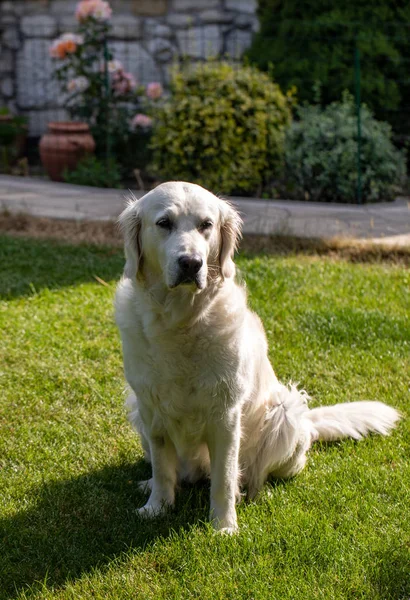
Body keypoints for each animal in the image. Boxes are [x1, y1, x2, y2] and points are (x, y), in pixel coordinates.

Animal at [114, 182, 400, 536]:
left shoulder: (225, 414)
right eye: (164, 223)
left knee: (261, 471)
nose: (191, 263)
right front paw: (157, 507)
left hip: (285, 412)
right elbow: (163, 467)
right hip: (136, 408)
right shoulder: (151, 407)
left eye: (206, 225)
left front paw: (224, 526)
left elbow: (223, 478)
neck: (180, 320)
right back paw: (150, 483)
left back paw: (250, 490)